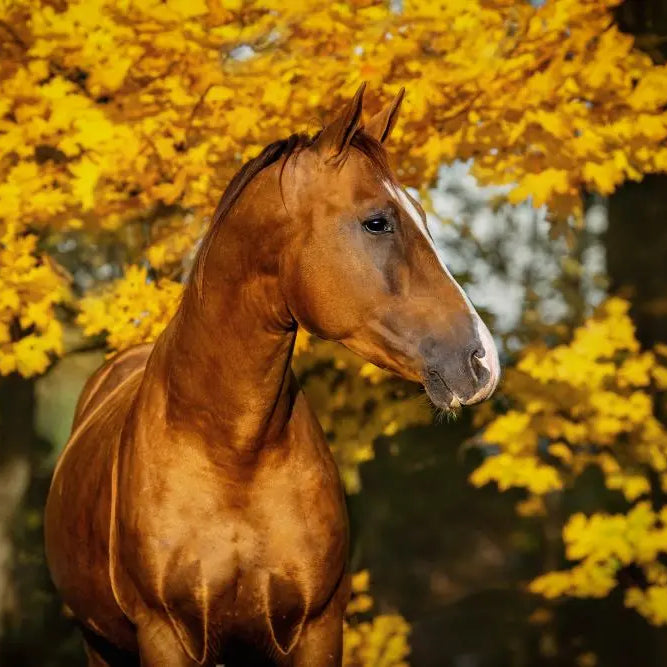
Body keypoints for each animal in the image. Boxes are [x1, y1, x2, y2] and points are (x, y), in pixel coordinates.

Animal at [44, 85, 498, 667]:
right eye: (377, 221)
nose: (481, 360)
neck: (234, 453)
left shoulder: (317, 630)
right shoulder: (164, 635)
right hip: (100, 644)